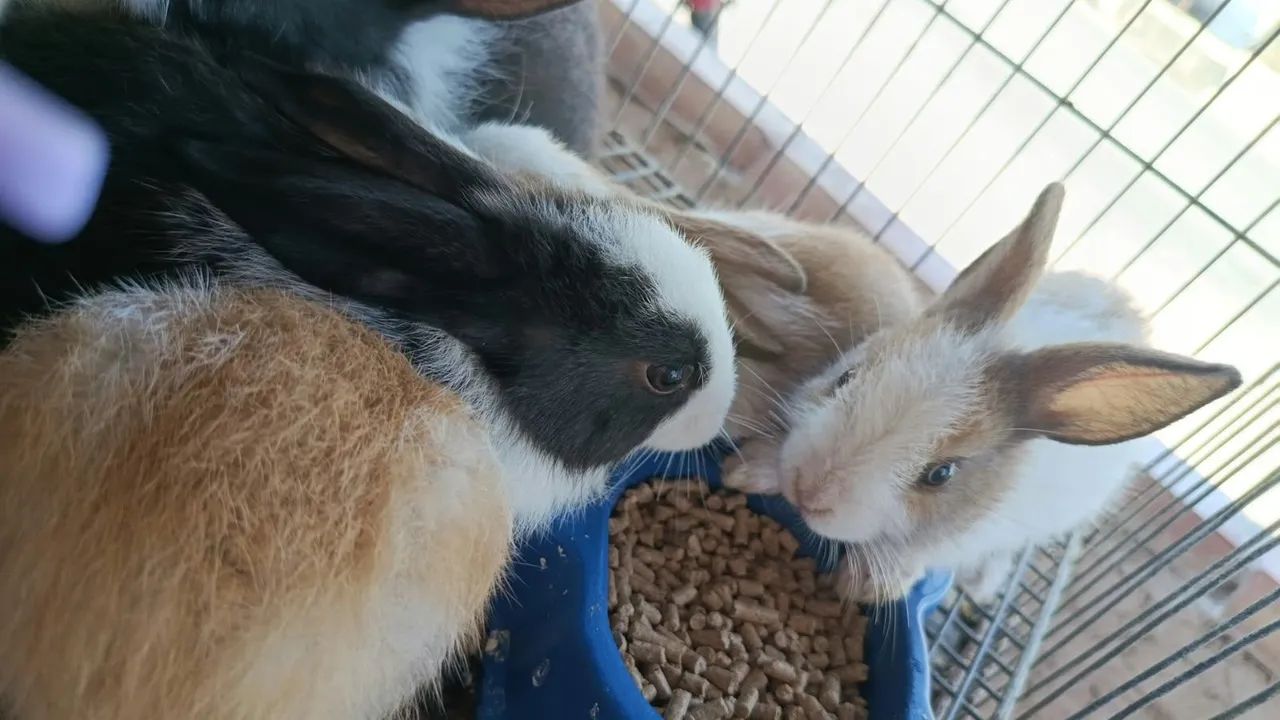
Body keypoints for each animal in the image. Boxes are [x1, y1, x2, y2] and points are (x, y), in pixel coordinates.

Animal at [719, 183, 1243, 603]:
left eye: (941, 474)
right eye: (847, 377)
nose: (808, 491)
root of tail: (1125, 301)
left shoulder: (962, 537)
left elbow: (921, 551)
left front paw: (870, 586)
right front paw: (749, 470)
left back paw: (982, 586)